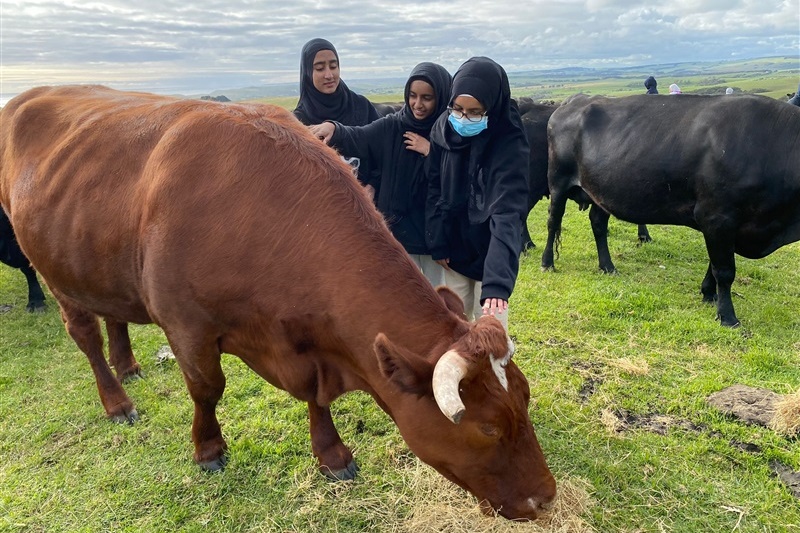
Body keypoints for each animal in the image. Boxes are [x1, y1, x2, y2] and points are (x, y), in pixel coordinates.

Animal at [0, 86, 556, 520]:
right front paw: (208, 449)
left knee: (113, 317)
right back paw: (117, 401)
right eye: (487, 427)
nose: (546, 499)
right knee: (86, 335)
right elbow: (207, 387)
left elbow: (316, 396)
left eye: (525, 399)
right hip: (53, 269)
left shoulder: (311, 343)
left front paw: (332, 455)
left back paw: (129, 365)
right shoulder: (186, 324)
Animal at [536, 94, 800, 326]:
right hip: (558, 182)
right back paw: (547, 263)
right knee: (553, 221)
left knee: (598, 223)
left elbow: (714, 264)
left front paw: (708, 294)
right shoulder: (717, 217)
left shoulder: (724, 225)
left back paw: (608, 267)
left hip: (600, 190)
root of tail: (575, 100)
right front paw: (727, 316)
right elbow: (724, 270)